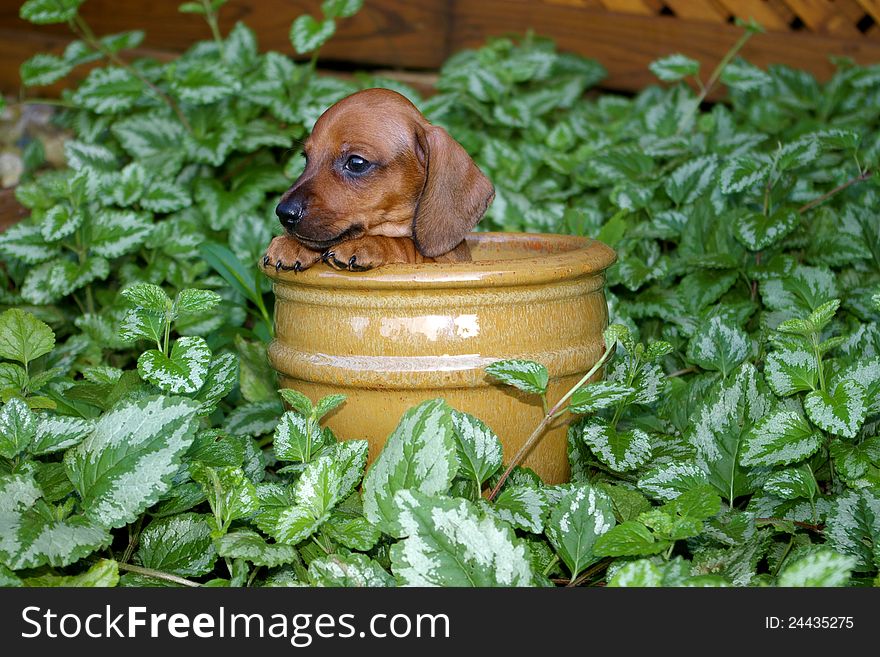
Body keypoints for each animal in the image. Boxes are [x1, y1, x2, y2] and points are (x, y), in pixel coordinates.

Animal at [262, 88, 496, 272]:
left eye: (356, 163)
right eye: (306, 158)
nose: (284, 213)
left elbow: (405, 245)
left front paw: (368, 244)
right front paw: (293, 244)